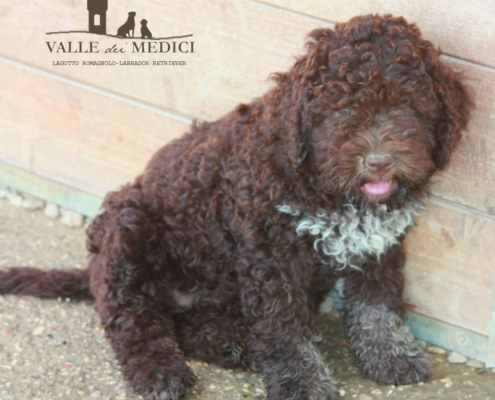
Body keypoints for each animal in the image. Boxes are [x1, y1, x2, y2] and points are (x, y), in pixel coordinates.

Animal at [0, 14, 472, 398]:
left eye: (408, 105)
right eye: (341, 109)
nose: (378, 161)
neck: (331, 190)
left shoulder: (379, 245)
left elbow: (377, 305)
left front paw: (390, 354)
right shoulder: (271, 258)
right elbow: (283, 329)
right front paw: (301, 382)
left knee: (185, 324)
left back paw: (233, 342)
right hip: (126, 228)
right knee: (133, 320)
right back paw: (161, 372)